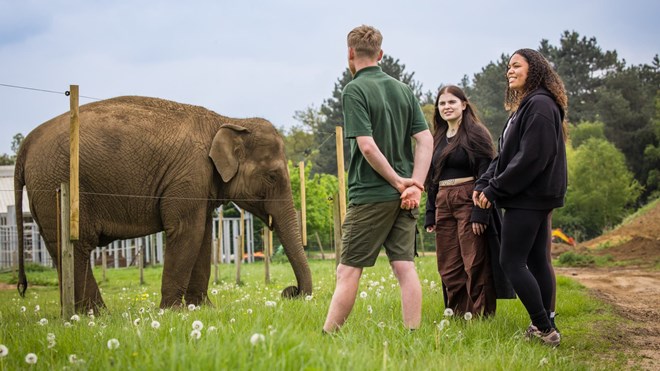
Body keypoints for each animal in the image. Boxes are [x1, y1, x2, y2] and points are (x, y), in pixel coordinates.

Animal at [14, 96, 314, 314]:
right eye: (272, 176)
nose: (291, 292)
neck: (228, 120)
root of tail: (26, 144)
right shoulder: (190, 175)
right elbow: (186, 231)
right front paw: (172, 313)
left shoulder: (200, 184)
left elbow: (203, 236)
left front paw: (203, 309)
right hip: (57, 182)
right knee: (77, 246)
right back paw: (95, 316)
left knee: (61, 248)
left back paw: (86, 316)